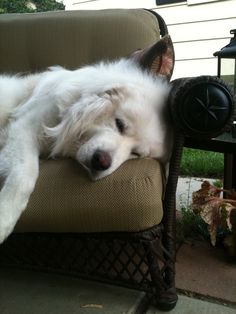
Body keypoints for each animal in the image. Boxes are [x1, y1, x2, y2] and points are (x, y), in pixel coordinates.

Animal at [0, 52, 173, 243]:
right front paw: (4, 219)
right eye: (119, 124)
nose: (101, 161)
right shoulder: (23, 128)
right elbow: (25, 175)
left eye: (136, 153)